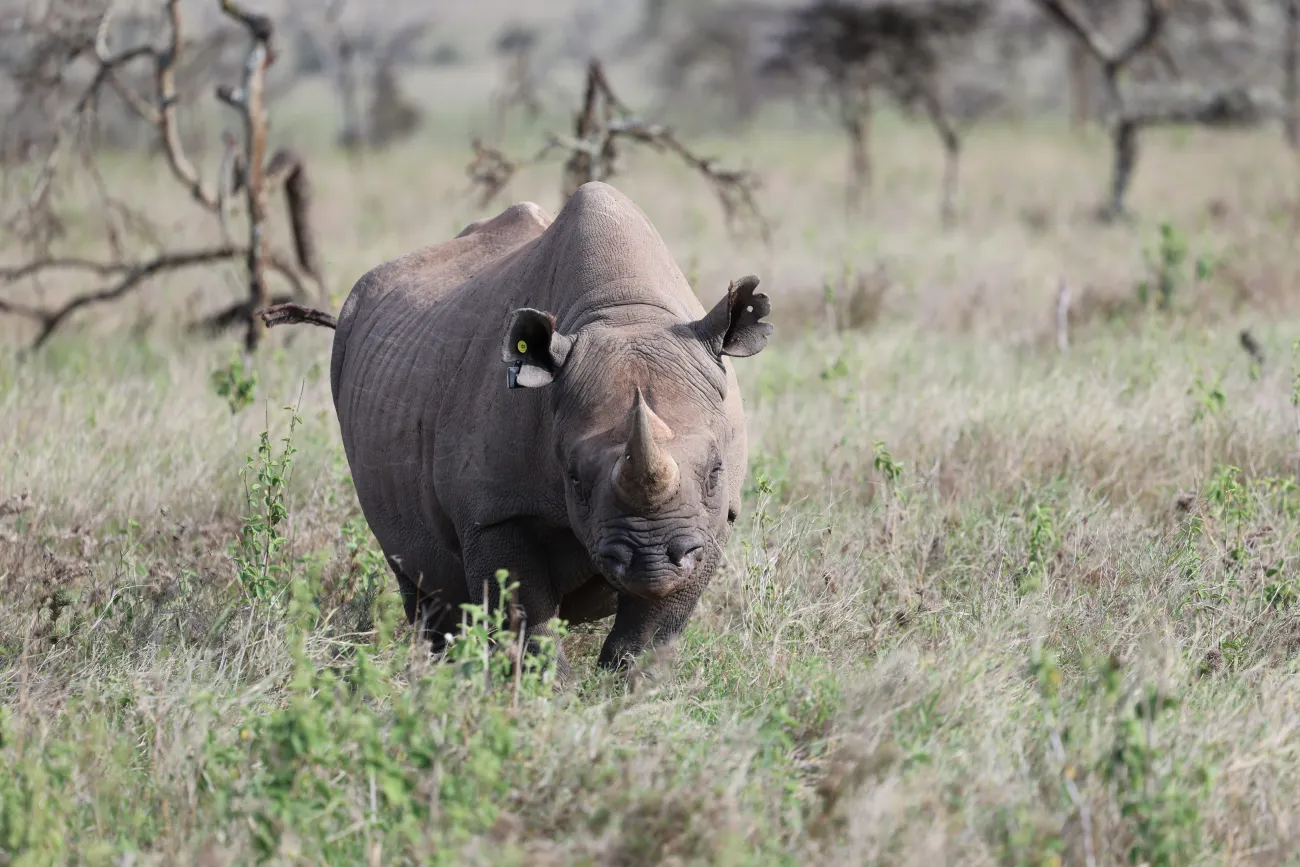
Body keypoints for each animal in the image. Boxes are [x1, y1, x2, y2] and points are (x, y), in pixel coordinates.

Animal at [268, 181, 772, 677]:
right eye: (575, 479)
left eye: (715, 471)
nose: (650, 559)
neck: (623, 312)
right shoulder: (495, 511)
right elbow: (524, 614)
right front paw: (549, 691)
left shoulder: (712, 518)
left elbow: (652, 627)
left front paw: (628, 686)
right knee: (419, 579)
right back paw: (437, 670)